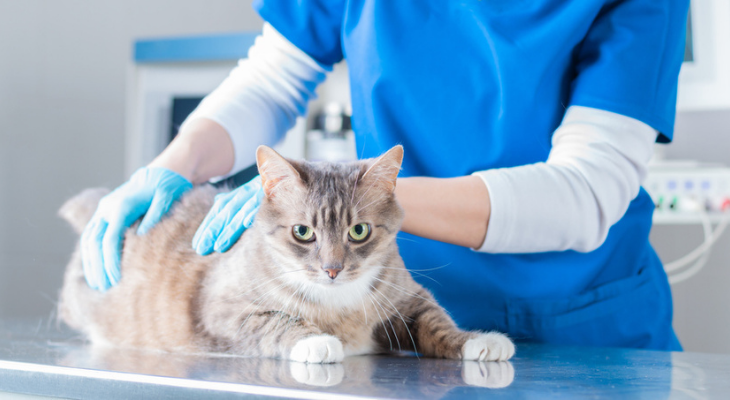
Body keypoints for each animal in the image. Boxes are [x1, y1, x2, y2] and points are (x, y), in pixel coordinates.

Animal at [57, 145, 512, 364]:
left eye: (359, 231)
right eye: (302, 232)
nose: (332, 269)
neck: (338, 305)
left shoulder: (407, 298)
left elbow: (436, 321)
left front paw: (477, 341)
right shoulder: (222, 310)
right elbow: (275, 321)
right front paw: (317, 342)